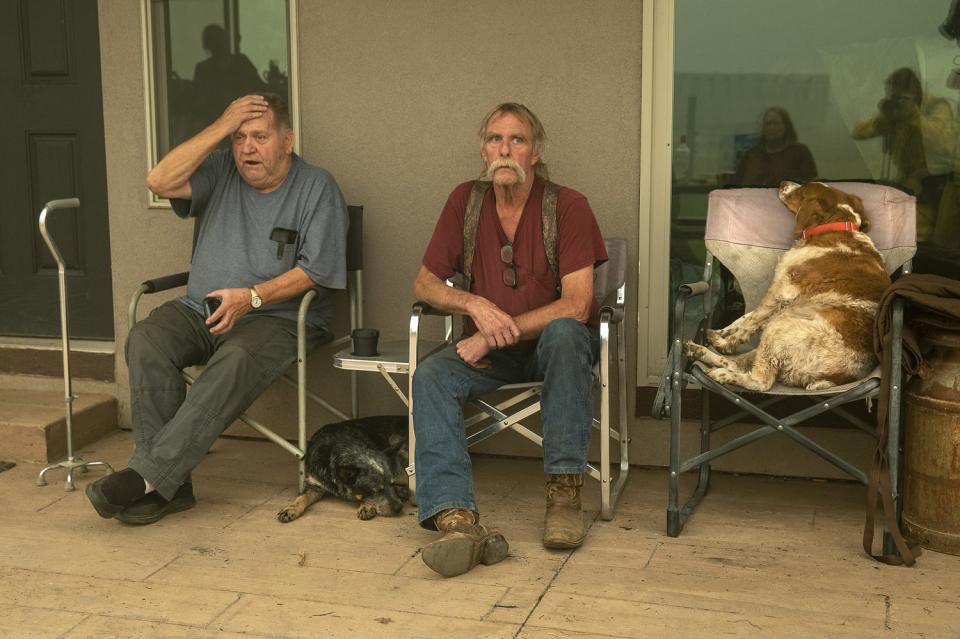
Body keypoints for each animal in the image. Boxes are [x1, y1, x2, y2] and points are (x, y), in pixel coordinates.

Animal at [274, 416, 408, 524]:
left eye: (392, 484)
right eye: (376, 491)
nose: (399, 508)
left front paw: (366, 506)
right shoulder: (314, 484)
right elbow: (302, 497)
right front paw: (291, 508)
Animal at [684, 180, 892, 390]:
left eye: (803, 189)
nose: (783, 183)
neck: (837, 226)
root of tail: (835, 379)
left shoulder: (782, 290)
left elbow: (750, 322)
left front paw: (727, 343)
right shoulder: (784, 300)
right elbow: (745, 317)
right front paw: (721, 333)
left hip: (778, 329)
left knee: (760, 380)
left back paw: (722, 372)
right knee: (739, 363)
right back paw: (699, 351)